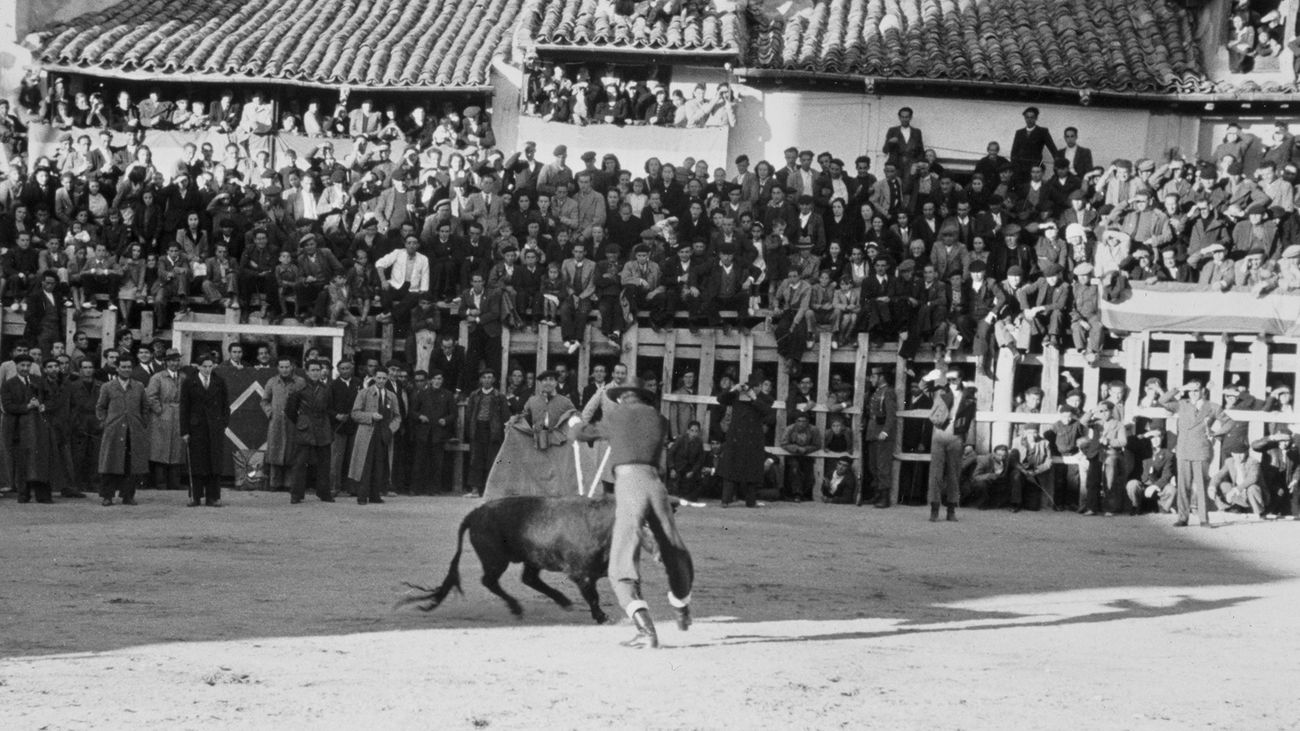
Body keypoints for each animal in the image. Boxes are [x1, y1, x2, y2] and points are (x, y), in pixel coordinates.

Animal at [395, 491, 660, 616]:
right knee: (490, 580)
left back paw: (561, 600)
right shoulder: (582, 574)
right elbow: (593, 596)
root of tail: (475, 513)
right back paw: (517, 607)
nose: (660, 555)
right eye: (647, 526)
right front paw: (601, 616)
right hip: (496, 559)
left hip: (532, 557)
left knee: (529, 578)